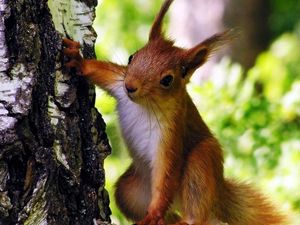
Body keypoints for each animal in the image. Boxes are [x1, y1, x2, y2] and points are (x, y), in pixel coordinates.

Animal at [62, 0, 286, 224]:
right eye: (132, 57)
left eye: (167, 80)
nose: (130, 86)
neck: (145, 105)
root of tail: (218, 195)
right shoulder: (118, 83)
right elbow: (101, 72)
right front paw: (79, 61)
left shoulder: (171, 133)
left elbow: (166, 174)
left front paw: (154, 213)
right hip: (131, 191)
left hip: (202, 161)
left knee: (196, 212)